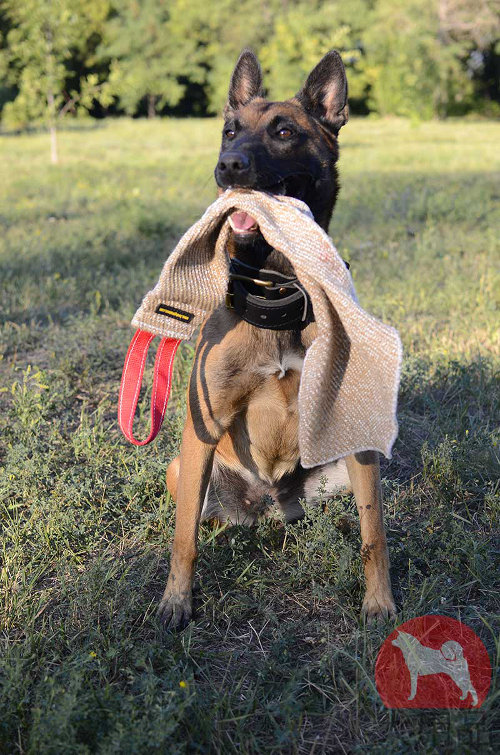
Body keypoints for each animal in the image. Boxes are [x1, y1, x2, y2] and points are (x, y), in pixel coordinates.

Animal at [158, 48, 396, 632]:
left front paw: (380, 603)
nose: (229, 165)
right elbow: (182, 536)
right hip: (184, 467)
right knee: (199, 517)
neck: (276, 285)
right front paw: (176, 601)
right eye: (228, 131)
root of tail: (266, 500)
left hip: (343, 464)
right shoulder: (201, 427)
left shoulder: (358, 441)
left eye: (284, 131)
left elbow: (374, 534)